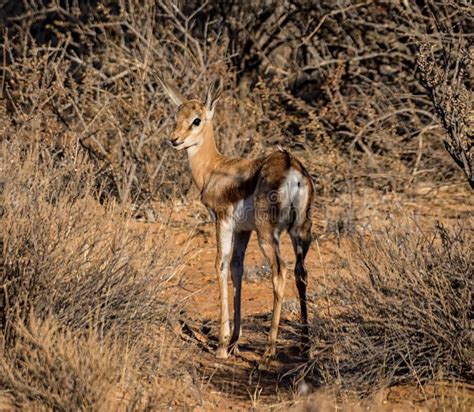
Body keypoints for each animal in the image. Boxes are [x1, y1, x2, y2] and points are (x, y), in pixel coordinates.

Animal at [159, 77, 312, 360]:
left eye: (196, 120)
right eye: (176, 116)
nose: (174, 140)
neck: (213, 169)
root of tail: (289, 164)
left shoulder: (223, 222)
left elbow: (220, 266)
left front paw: (221, 345)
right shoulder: (244, 230)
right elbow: (237, 269)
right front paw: (235, 342)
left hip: (268, 235)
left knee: (280, 271)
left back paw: (268, 351)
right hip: (301, 231)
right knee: (301, 272)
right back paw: (306, 346)